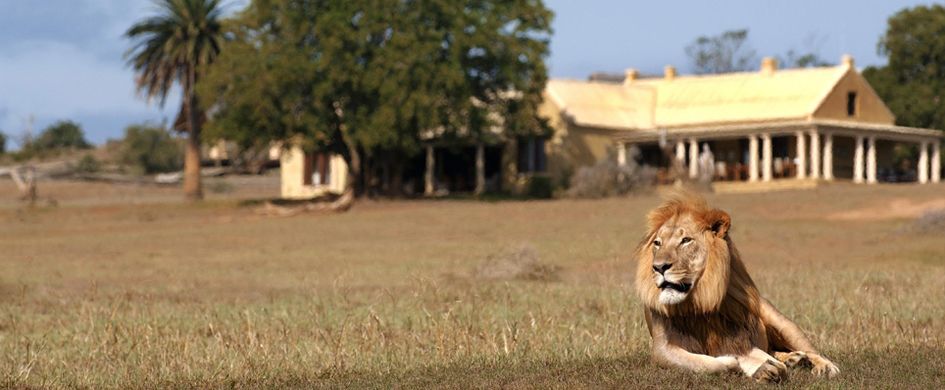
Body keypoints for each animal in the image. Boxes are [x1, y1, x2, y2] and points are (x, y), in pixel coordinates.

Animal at [636, 193, 840, 382]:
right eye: (657, 243)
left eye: (686, 240)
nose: (658, 267)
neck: (699, 301)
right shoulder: (662, 349)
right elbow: (706, 364)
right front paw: (750, 366)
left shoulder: (737, 338)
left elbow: (752, 355)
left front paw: (763, 366)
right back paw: (794, 360)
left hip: (781, 322)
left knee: (809, 349)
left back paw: (822, 366)